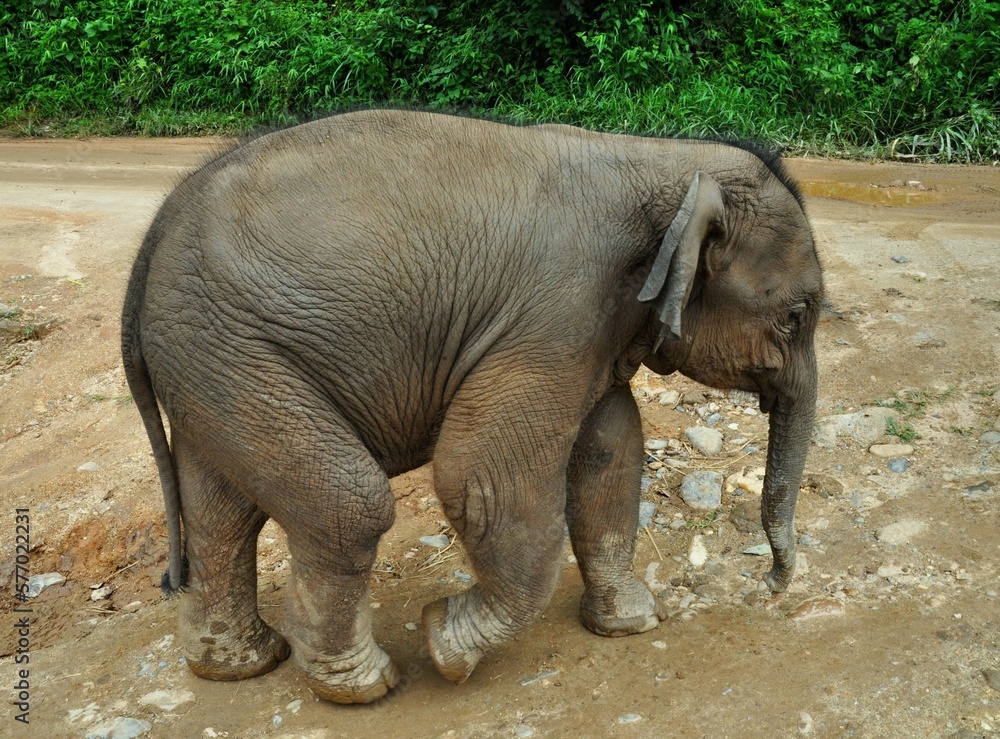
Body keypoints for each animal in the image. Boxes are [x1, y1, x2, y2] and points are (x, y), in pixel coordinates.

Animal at [121, 110, 820, 704]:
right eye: (795, 316)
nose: (773, 582)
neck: (664, 160)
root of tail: (154, 234)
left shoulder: (592, 328)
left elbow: (610, 451)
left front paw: (634, 624)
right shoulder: (557, 311)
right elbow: (483, 480)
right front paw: (445, 646)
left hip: (213, 362)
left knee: (221, 511)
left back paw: (239, 665)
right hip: (230, 350)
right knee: (347, 505)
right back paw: (363, 686)